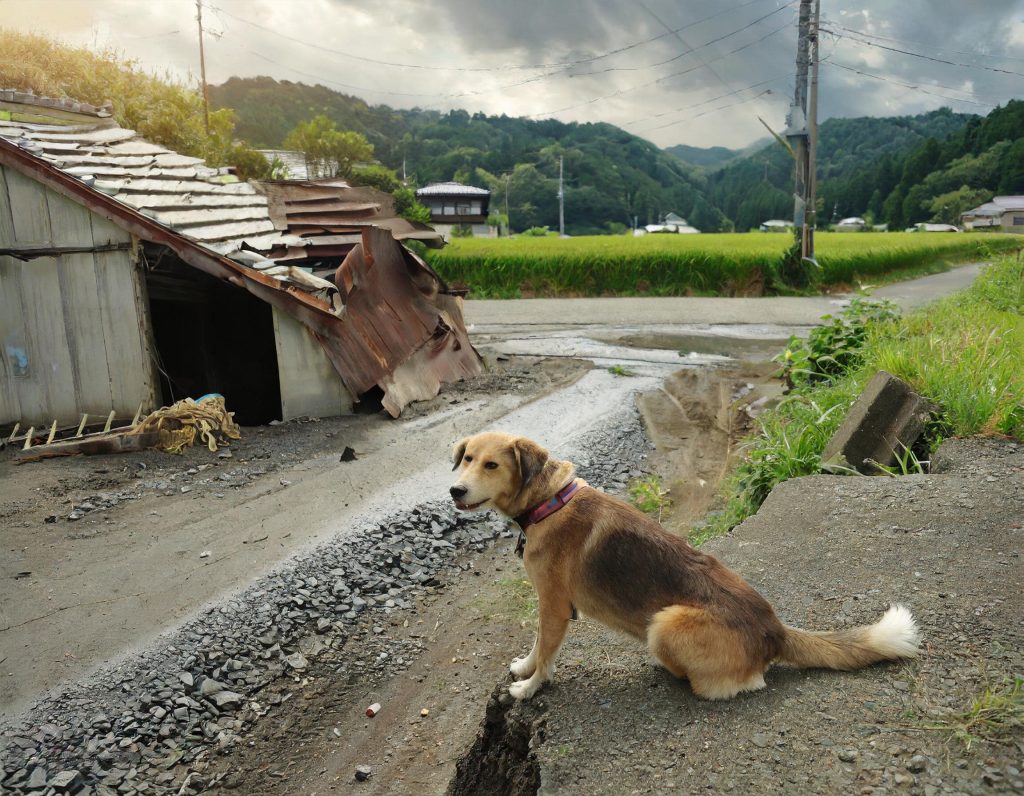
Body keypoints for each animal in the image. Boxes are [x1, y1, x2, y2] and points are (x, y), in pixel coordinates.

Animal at [448, 432, 921, 700]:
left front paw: (529, 688)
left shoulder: (554, 607)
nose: (455, 491)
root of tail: (775, 630)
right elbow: (535, 648)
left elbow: (546, 653)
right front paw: (524, 670)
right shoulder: (548, 608)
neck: (548, 501)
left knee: (737, 683)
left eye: (492, 464)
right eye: (467, 458)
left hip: (665, 623)